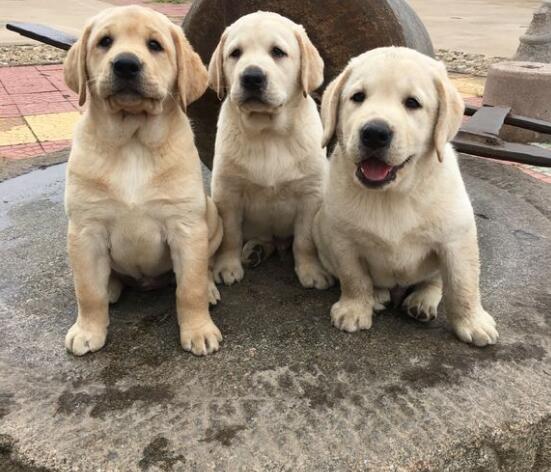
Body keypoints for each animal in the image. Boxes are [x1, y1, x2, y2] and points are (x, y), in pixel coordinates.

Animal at [62, 5, 222, 356]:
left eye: (154, 45)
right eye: (105, 41)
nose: (125, 64)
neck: (133, 142)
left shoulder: (186, 227)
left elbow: (189, 288)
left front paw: (199, 330)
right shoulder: (85, 230)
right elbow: (87, 291)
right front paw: (87, 330)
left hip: (211, 218)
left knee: (203, 268)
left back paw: (210, 287)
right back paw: (110, 286)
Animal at [209, 11, 334, 290]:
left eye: (277, 52)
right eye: (235, 53)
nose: (252, 76)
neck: (268, 133)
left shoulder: (311, 195)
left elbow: (304, 240)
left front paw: (311, 270)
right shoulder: (227, 192)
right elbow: (230, 235)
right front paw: (227, 266)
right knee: (262, 239)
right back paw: (254, 250)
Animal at [314, 48, 500, 346]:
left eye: (413, 103)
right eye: (358, 97)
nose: (374, 133)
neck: (392, 194)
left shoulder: (457, 238)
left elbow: (463, 284)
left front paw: (472, 322)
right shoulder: (342, 240)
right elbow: (354, 278)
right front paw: (355, 308)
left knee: (435, 280)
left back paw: (422, 301)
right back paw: (377, 296)